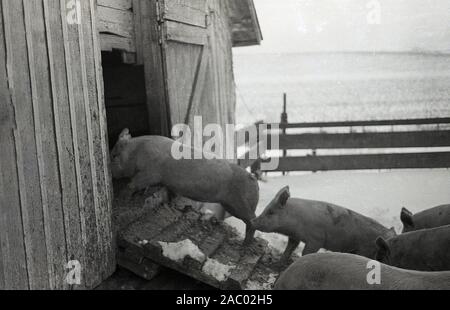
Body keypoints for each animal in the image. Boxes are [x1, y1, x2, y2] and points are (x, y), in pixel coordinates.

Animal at [110, 128, 260, 245]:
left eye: (114, 156)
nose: (111, 175)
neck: (136, 152)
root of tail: (254, 180)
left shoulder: (151, 172)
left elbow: (134, 183)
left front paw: (123, 197)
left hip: (240, 204)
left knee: (252, 221)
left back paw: (243, 243)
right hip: (229, 205)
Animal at [251, 186, 396, 264]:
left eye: (270, 212)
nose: (253, 220)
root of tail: (390, 234)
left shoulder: (316, 239)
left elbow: (306, 252)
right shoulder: (295, 236)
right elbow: (289, 248)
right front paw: (278, 263)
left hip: (367, 250)